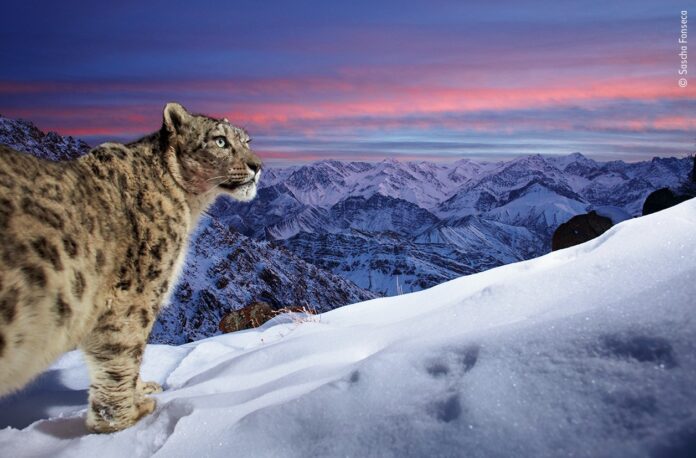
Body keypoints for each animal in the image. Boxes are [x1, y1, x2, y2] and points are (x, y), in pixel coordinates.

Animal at [0, 104, 260, 432]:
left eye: (246, 140)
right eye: (221, 141)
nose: (257, 166)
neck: (189, 207)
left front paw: (142, 391)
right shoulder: (135, 295)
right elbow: (123, 354)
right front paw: (126, 418)